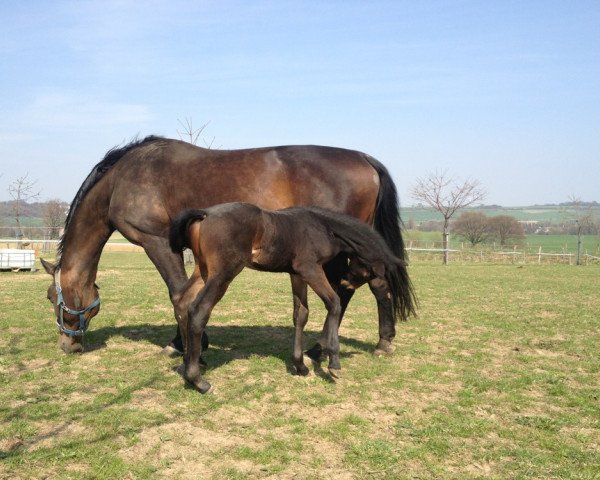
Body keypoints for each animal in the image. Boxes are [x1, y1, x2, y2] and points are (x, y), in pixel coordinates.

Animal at [41, 137, 408, 358]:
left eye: (50, 297)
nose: (66, 345)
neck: (123, 179)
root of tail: (364, 158)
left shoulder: (155, 240)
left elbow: (178, 293)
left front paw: (185, 344)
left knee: (347, 289)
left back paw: (323, 347)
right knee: (376, 284)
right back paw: (381, 341)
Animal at [166, 202, 414, 394]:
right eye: (371, 272)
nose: (345, 282)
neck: (323, 228)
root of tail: (205, 213)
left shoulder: (297, 274)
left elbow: (301, 314)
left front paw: (300, 366)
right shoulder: (310, 268)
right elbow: (334, 303)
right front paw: (334, 362)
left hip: (203, 270)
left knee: (181, 301)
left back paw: (189, 363)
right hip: (223, 273)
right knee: (199, 310)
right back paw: (198, 380)